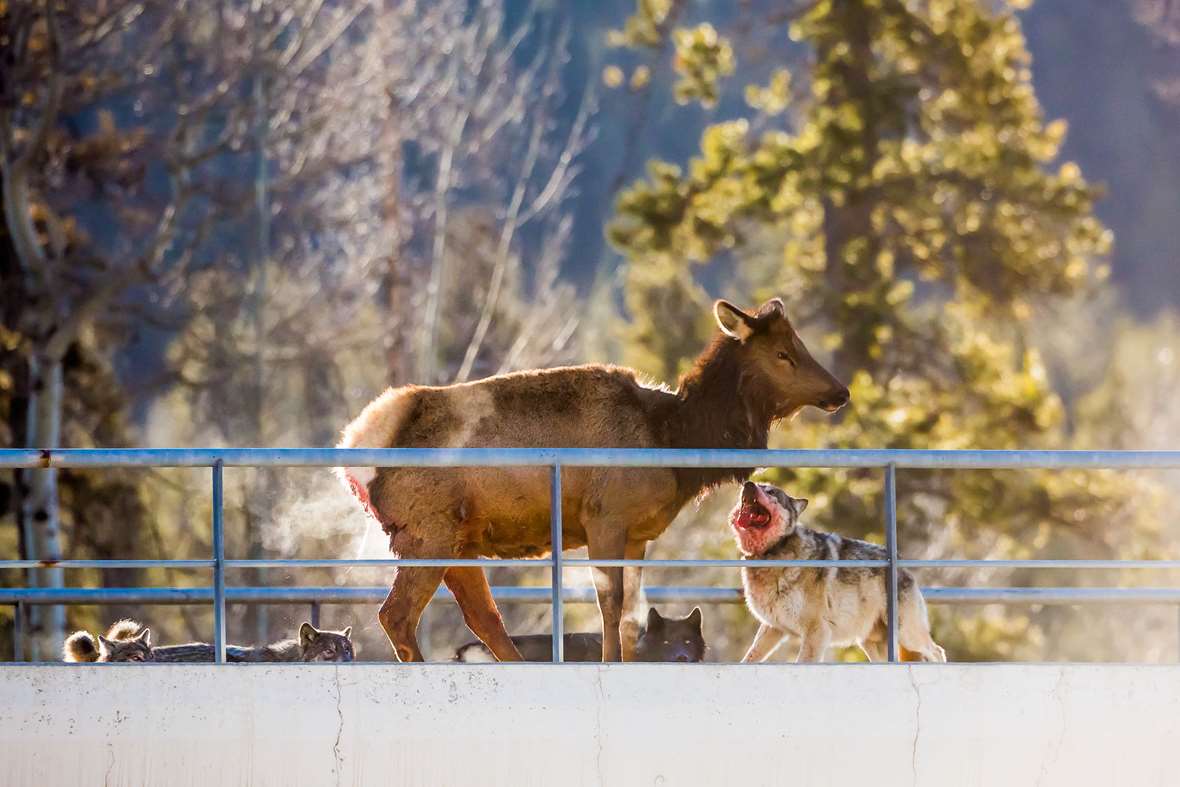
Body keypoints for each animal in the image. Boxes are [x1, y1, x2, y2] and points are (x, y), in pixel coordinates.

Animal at [337, 298, 844, 660]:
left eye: (799, 345)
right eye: (783, 353)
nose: (840, 391)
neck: (672, 439)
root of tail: (356, 449)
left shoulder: (638, 533)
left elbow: (632, 615)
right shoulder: (604, 518)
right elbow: (610, 605)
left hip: (460, 541)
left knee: (484, 618)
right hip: (429, 532)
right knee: (397, 615)